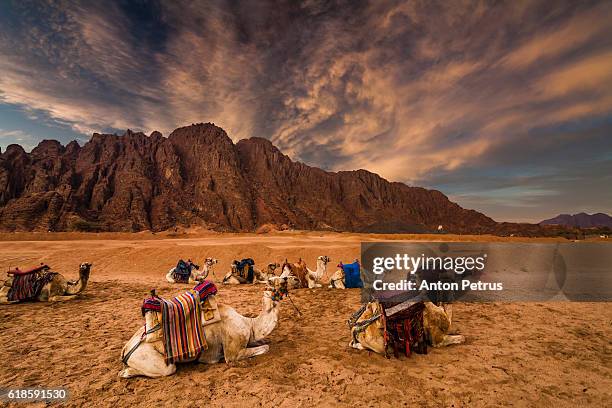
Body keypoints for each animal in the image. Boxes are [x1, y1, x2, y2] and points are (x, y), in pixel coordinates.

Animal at [122, 278, 292, 380]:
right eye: (272, 280)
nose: (286, 279)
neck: (250, 324)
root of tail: (125, 350)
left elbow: (263, 342)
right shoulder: (233, 353)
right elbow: (265, 347)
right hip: (146, 356)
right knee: (167, 369)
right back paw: (126, 372)